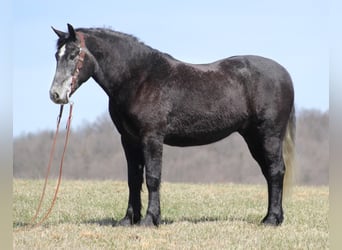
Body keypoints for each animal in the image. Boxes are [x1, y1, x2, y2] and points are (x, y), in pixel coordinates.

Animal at [49, 23, 296, 227]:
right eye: (56, 56)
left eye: (73, 54)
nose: (56, 94)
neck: (138, 78)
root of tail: (284, 74)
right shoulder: (129, 139)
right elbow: (133, 179)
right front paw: (129, 219)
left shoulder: (152, 137)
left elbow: (152, 178)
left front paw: (150, 219)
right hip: (253, 138)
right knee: (270, 173)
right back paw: (273, 217)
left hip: (269, 135)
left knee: (275, 171)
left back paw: (271, 220)